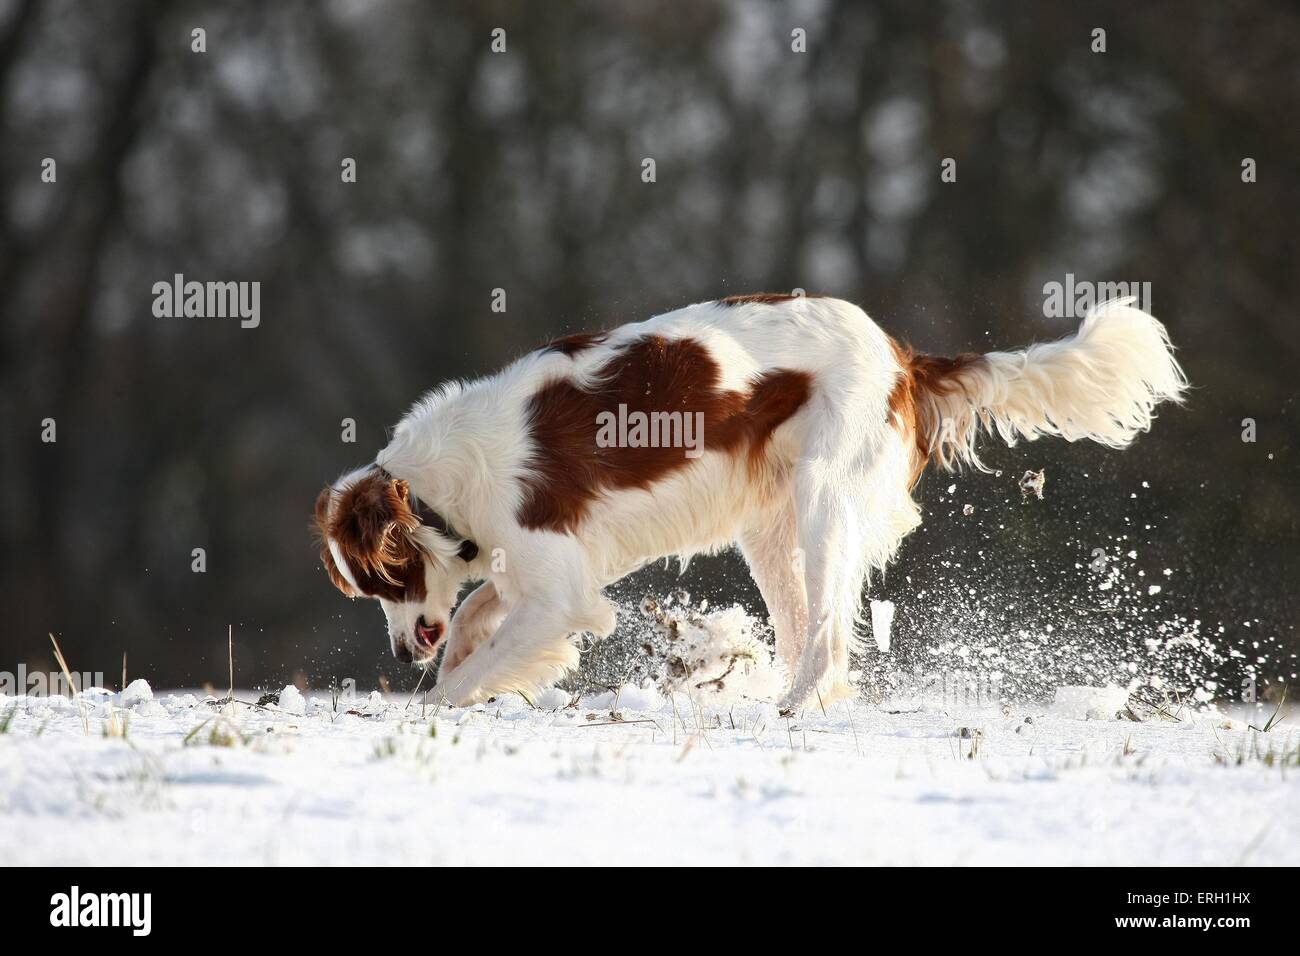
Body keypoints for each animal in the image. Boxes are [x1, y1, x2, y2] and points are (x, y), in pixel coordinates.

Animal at [314, 293, 1190, 712]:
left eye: (384, 581)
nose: (400, 654)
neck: (441, 485)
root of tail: (903, 358)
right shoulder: (543, 569)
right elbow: (470, 613)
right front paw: (454, 659)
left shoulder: (560, 593)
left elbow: (481, 657)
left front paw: (438, 697)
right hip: (770, 528)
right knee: (808, 633)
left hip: (827, 501)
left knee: (829, 639)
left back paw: (790, 709)